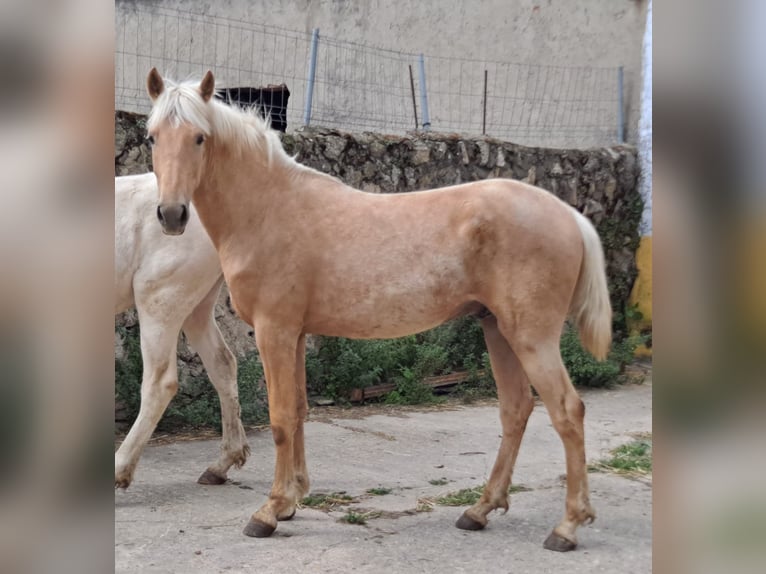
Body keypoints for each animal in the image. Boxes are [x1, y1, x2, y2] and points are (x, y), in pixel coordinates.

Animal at [114, 173, 249, 488]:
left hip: (161, 295)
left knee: (160, 381)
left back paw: (119, 468)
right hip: (198, 304)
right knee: (222, 363)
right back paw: (220, 465)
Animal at [142, 70, 612, 556]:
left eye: (199, 138)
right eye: (152, 136)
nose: (172, 214)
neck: (269, 208)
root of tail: (568, 215)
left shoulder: (276, 331)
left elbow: (280, 419)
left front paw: (269, 512)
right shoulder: (295, 334)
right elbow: (299, 411)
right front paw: (292, 499)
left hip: (531, 338)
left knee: (567, 412)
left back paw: (567, 527)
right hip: (498, 330)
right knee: (515, 409)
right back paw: (479, 510)